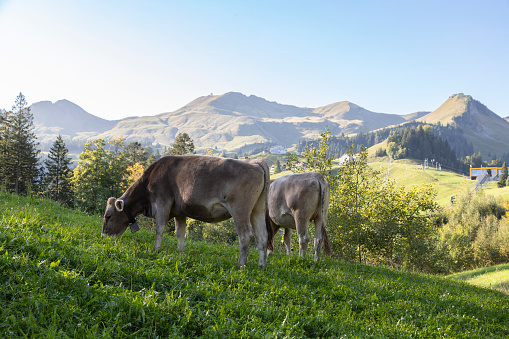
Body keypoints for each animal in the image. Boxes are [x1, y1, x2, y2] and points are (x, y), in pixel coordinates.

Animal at [100, 155, 272, 270]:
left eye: (108, 216)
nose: (103, 236)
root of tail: (256, 162)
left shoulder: (162, 203)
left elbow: (160, 228)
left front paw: (156, 249)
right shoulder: (179, 210)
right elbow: (180, 232)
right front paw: (181, 251)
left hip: (240, 209)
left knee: (246, 235)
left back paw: (241, 265)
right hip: (257, 209)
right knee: (262, 236)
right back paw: (261, 265)